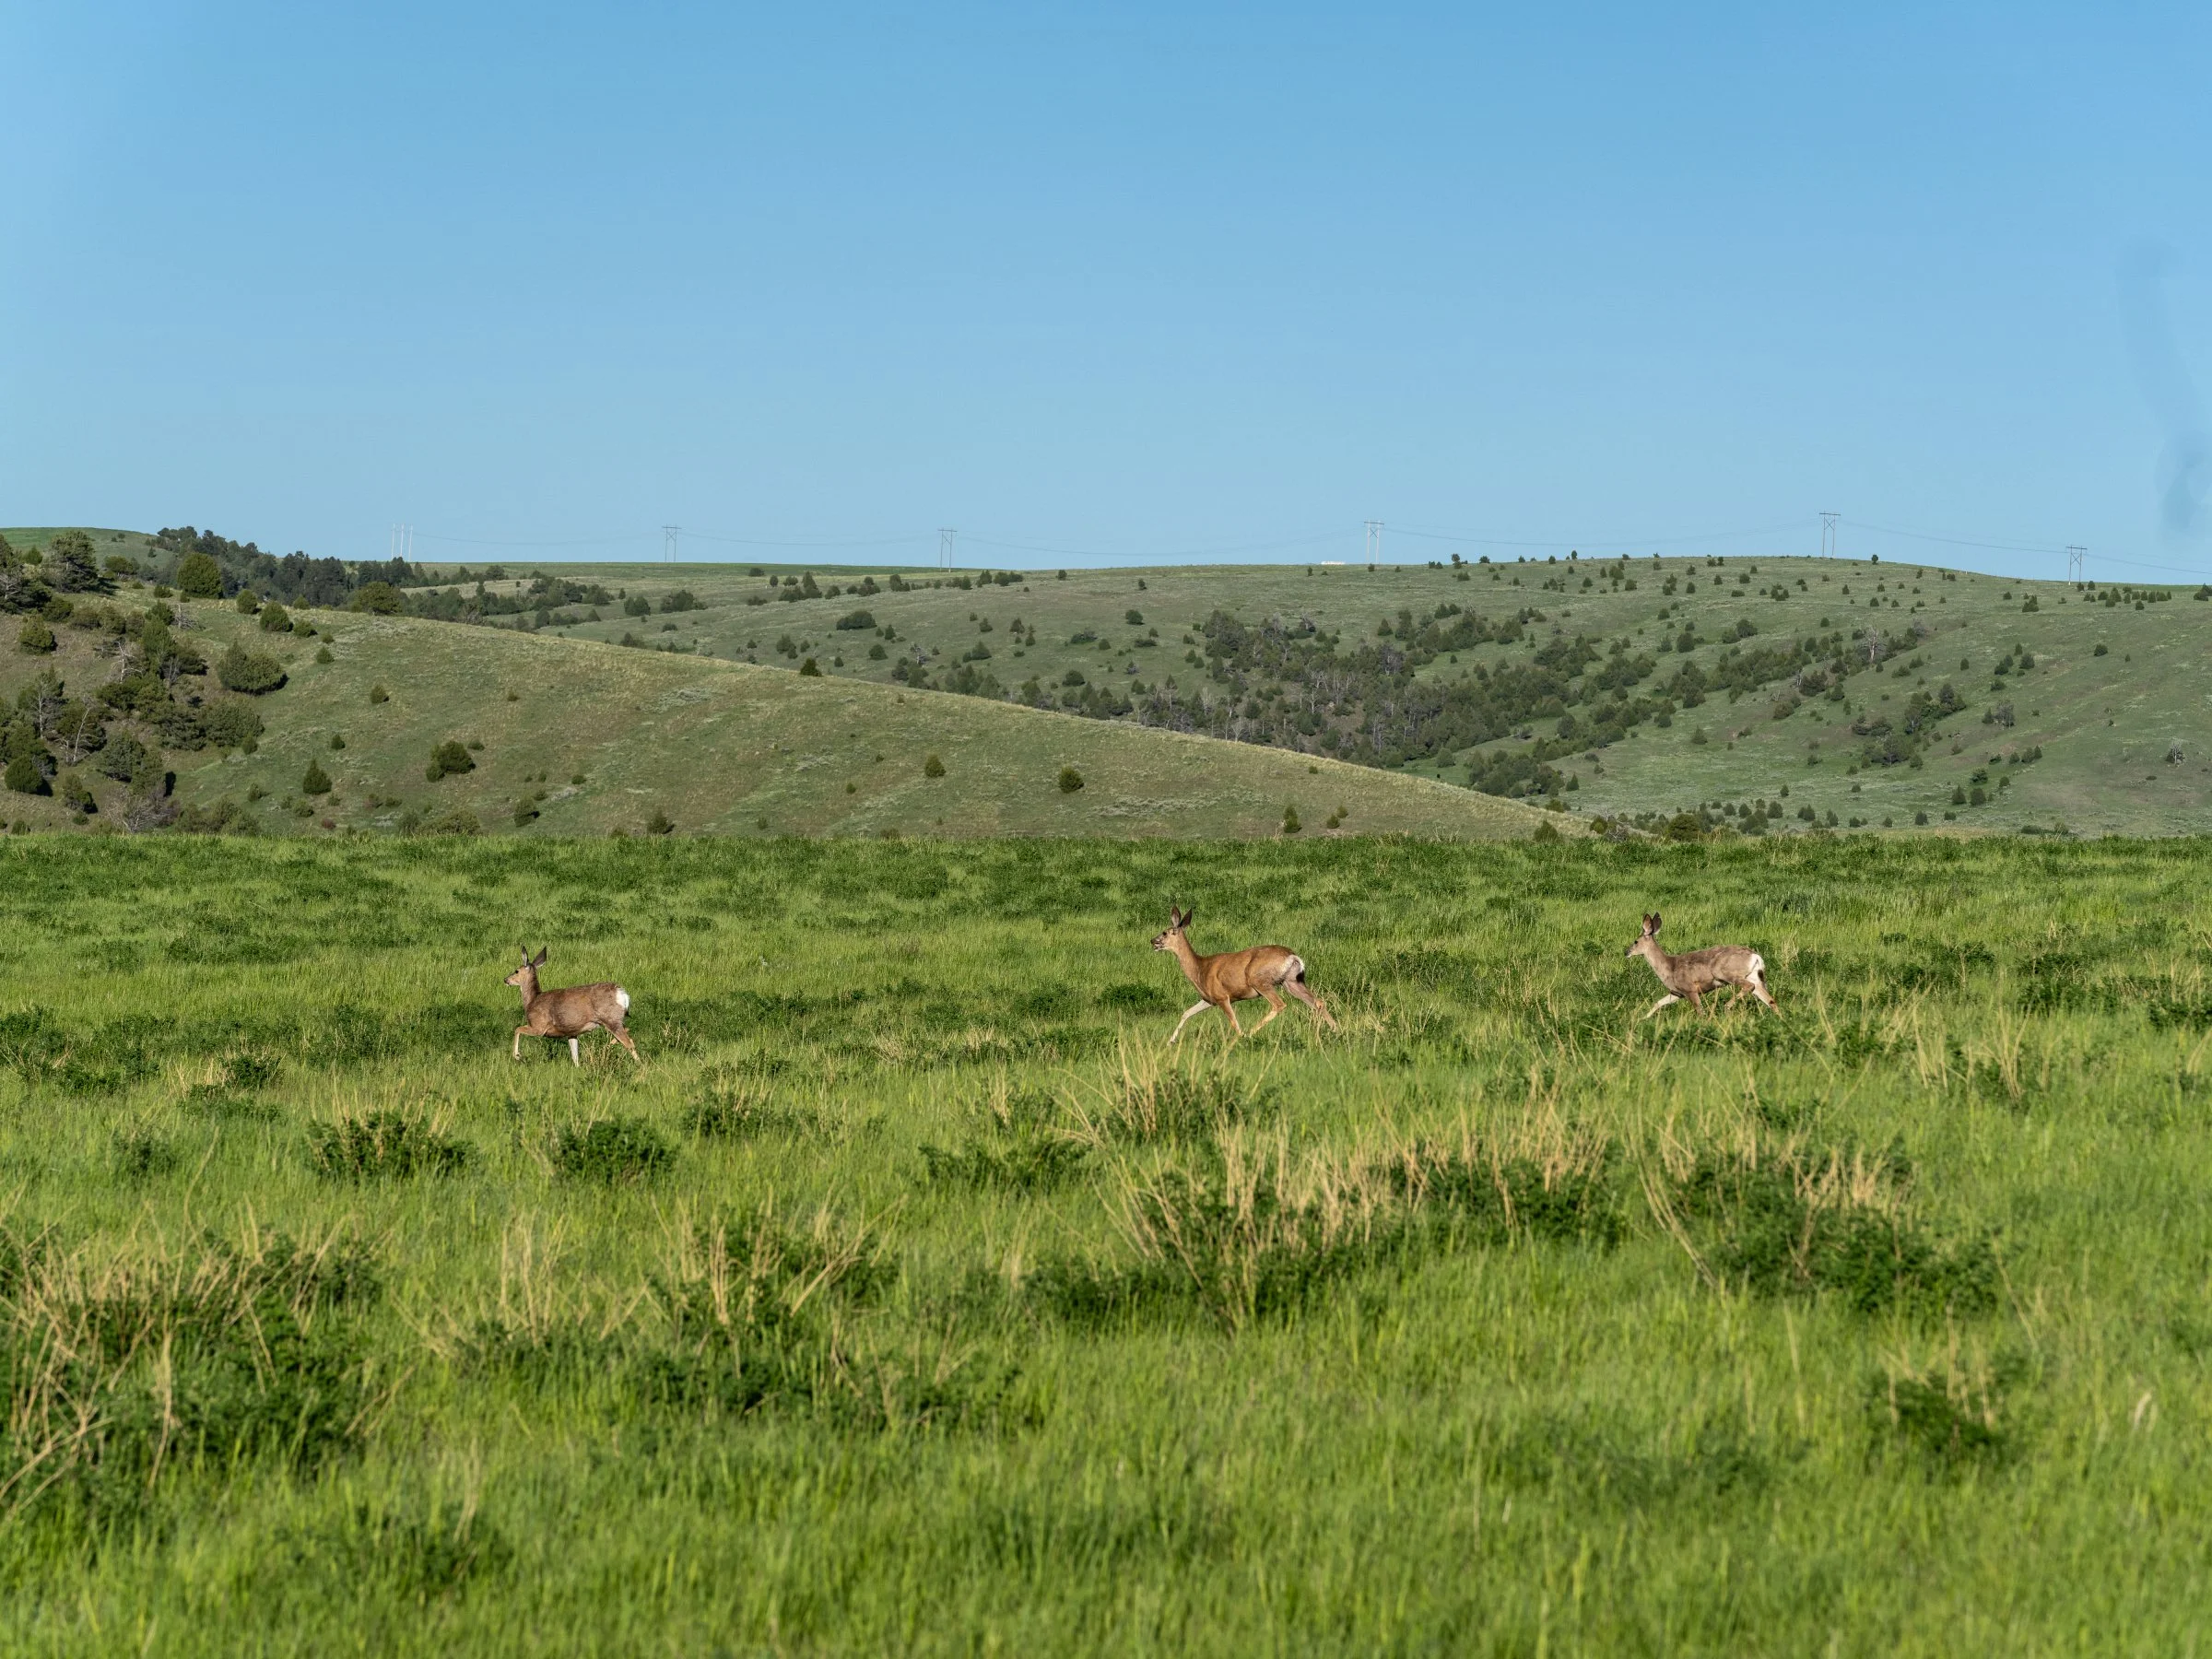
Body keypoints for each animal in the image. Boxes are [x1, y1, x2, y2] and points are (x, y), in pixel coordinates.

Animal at [505, 947, 644, 1067]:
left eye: (516, 971)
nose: (506, 979)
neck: (532, 1001)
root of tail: (622, 993)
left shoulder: (538, 1026)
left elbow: (517, 1029)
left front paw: (517, 1055)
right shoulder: (571, 1032)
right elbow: (575, 1055)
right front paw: (578, 1068)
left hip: (611, 1019)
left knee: (629, 1042)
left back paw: (640, 1065)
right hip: (616, 1019)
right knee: (627, 1033)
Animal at [1150, 905, 1339, 1044]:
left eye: (1164, 932)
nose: (1152, 941)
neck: (1200, 968)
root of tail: (1292, 956)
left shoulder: (1222, 997)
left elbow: (1234, 1022)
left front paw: (1240, 1038)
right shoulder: (1209, 999)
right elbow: (1186, 1013)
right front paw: (1170, 1042)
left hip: (1259, 980)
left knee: (1279, 1004)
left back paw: (1251, 1033)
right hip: (1292, 982)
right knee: (1318, 1002)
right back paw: (1337, 1030)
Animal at [1626, 913, 1778, 1019]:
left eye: (1635, 941)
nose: (1626, 952)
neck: (1669, 968)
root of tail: (1755, 956)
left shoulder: (1690, 988)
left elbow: (1700, 1011)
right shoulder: (1677, 992)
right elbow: (1658, 1003)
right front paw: (1641, 1018)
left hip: (1726, 972)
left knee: (1749, 986)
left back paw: (1727, 1006)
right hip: (1755, 977)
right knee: (1771, 1000)